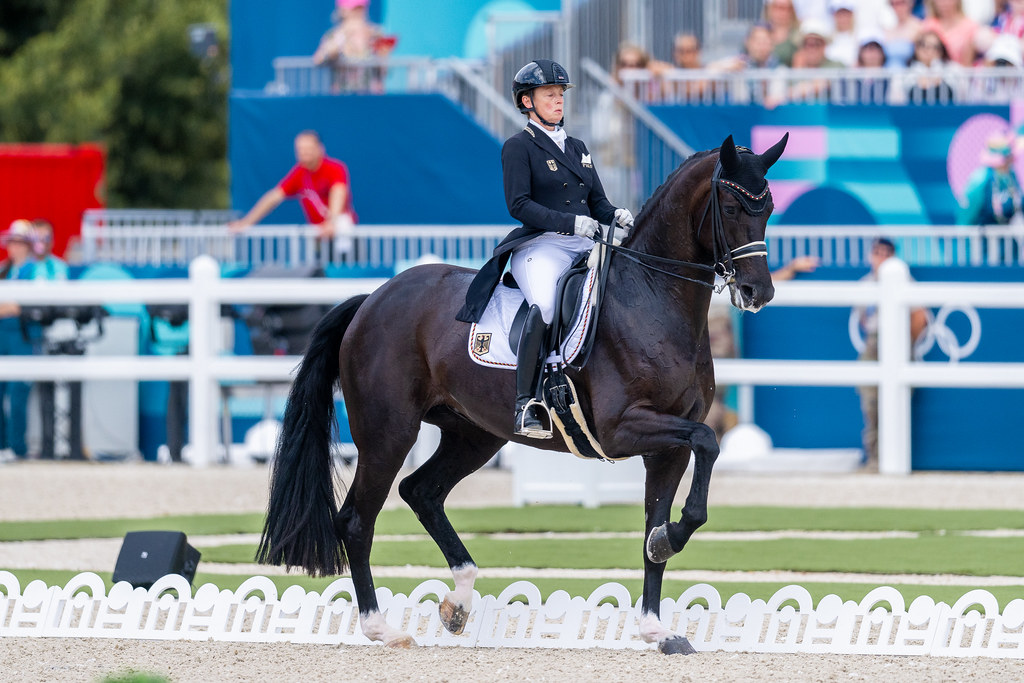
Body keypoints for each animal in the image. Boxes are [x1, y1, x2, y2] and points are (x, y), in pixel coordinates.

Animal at [260, 132, 786, 651]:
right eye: (732, 208)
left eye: (769, 208)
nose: (758, 293)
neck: (653, 299)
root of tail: (373, 298)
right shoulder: (622, 429)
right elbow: (708, 441)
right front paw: (668, 548)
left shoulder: (666, 447)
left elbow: (656, 523)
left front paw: (658, 626)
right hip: (388, 432)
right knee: (356, 519)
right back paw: (381, 628)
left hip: (474, 434)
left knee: (421, 492)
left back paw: (459, 602)